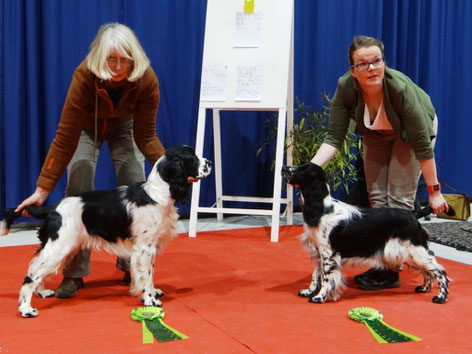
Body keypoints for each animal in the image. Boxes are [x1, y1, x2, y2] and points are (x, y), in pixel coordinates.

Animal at [0, 145, 210, 316]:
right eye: (192, 156)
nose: (209, 162)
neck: (157, 193)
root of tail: (53, 208)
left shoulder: (149, 248)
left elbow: (149, 274)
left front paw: (152, 292)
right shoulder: (144, 248)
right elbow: (146, 275)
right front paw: (150, 300)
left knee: (36, 269)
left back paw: (42, 292)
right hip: (59, 246)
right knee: (32, 274)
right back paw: (26, 309)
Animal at [282, 163, 452, 304]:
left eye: (304, 169)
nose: (284, 167)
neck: (323, 208)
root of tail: (413, 214)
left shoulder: (329, 254)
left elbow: (326, 277)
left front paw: (319, 297)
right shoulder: (317, 252)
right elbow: (315, 275)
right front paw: (308, 291)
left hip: (415, 251)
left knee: (440, 272)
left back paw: (440, 297)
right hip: (408, 254)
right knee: (428, 271)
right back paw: (424, 288)